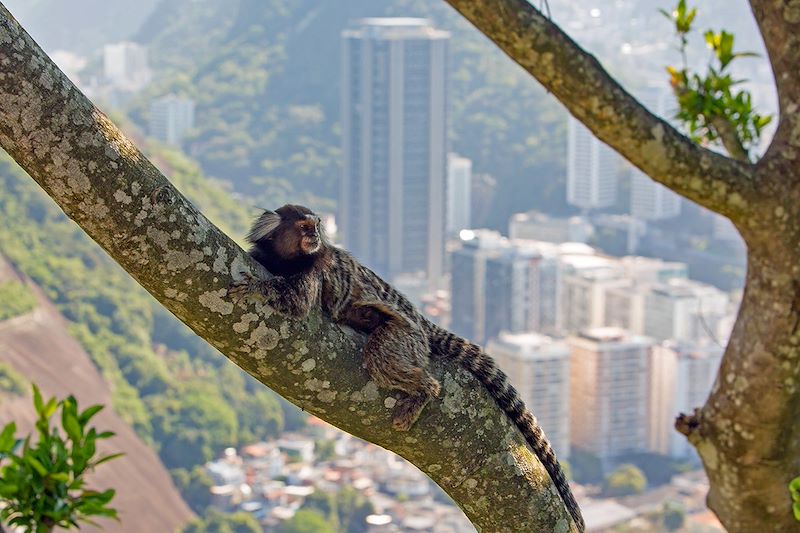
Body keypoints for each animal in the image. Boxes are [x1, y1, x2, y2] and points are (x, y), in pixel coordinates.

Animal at [228, 204, 585, 532]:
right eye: (304, 227)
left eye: (315, 227)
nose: (314, 236)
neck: (288, 260)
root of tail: (422, 323)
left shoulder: (317, 266)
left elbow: (298, 302)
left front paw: (258, 288)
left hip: (404, 335)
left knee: (384, 357)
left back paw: (421, 391)